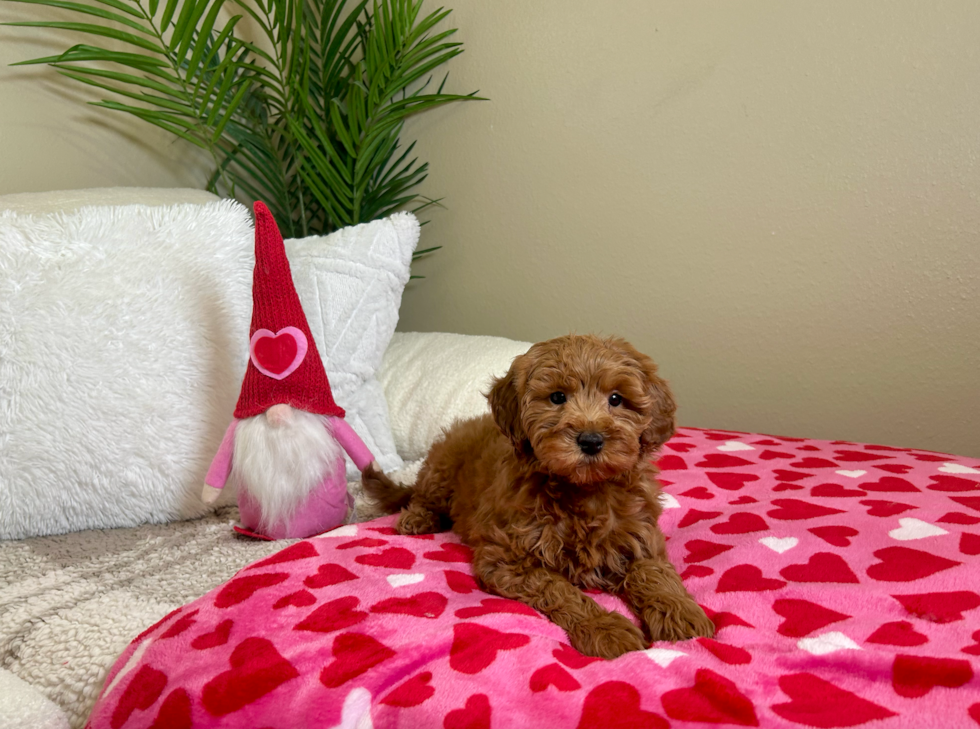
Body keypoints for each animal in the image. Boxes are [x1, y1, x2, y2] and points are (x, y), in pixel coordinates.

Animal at [360, 332, 712, 656]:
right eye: (557, 397)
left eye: (616, 398)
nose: (591, 440)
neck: (584, 490)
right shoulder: (507, 560)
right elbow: (559, 589)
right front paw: (604, 627)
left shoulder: (642, 538)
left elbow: (654, 574)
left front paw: (681, 614)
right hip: (441, 470)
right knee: (421, 496)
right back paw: (417, 518)